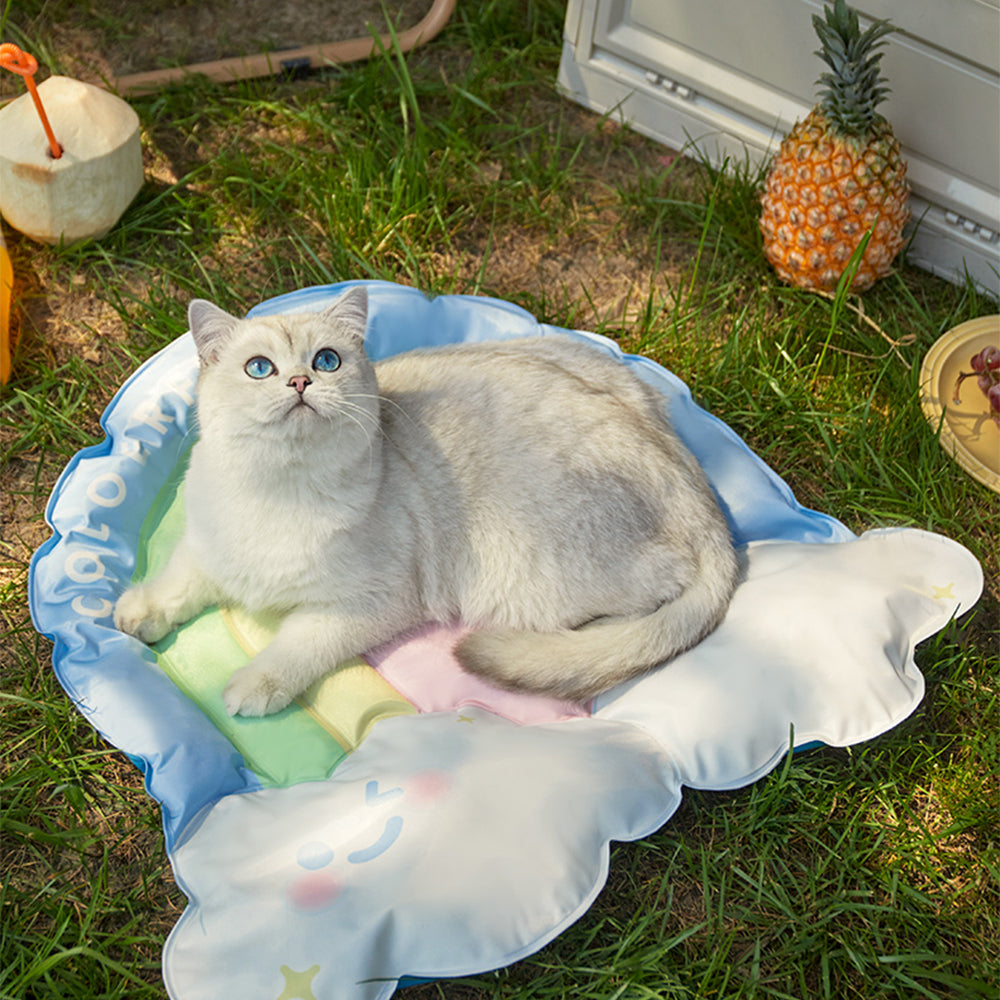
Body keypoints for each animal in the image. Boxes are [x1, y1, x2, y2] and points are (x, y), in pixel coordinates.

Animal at [114, 286, 738, 716]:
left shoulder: (368, 605)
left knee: (650, 601)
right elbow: (176, 584)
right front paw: (136, 614)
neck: (276, 491)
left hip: (532, 576)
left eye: (326, 361)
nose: (299, 383)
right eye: (259, 369)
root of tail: (708, 508)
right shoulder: (210, 550)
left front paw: (252, 687)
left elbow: (296, 645)